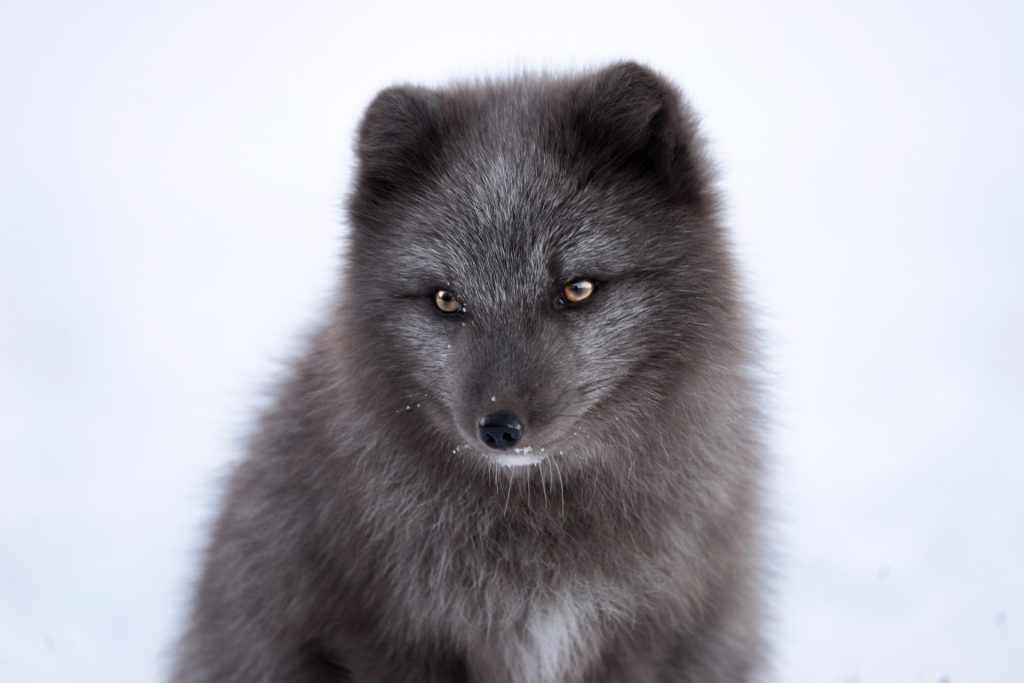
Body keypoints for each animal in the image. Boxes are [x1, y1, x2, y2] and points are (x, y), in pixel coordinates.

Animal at [169, 61, 770, 679]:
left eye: (577, 289)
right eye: (446, 299)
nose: (499, 428)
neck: (536, 526)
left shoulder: (648, 634)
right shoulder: (385, 637)